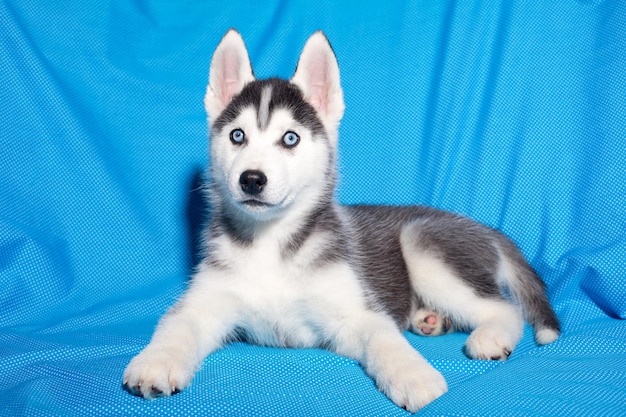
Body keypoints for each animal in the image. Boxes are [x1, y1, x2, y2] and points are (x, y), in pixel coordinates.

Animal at [120, 30, 556, 412]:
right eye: (237, 136)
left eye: (290, 138)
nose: (252, 179)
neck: (270, 243)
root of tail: (488, 229)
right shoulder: (205, 303)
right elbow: (176, 326)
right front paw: (155, 361)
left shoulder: (356, 313)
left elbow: (384, 339)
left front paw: (415, 376)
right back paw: (429, 319)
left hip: (421, 242)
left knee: (505, 309)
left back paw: (489, 337)